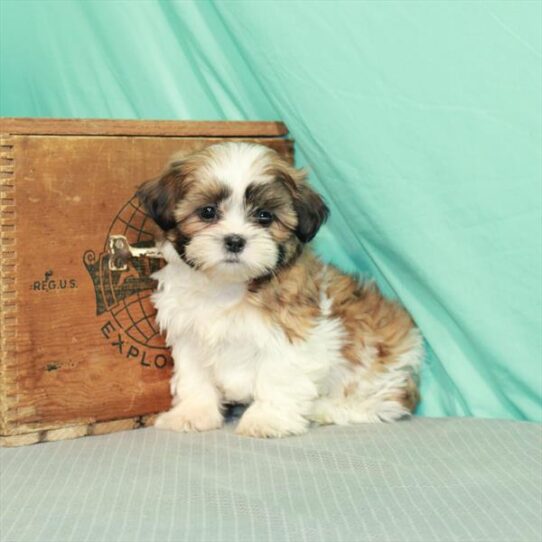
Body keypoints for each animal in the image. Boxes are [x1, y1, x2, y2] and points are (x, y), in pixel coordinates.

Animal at [137, 142, 424, 440]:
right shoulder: (189, 336)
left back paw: (328, 408)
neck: (229, 287)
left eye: (265, 216)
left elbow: (277, 377)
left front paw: (266, 419)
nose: (235, 240)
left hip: (379, 366)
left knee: (383, 403)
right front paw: (192, 414)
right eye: (207, 212)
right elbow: (194, 378)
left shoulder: (290, 334)